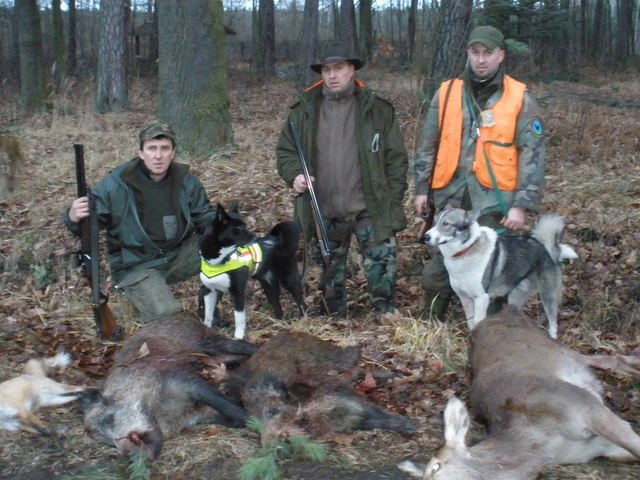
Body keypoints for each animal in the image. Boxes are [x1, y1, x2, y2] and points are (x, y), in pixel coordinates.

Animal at [82, 313, 257, 458]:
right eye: (106, 441)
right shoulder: (198, 416)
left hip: (206, 340)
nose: (128, 457)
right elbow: (235, 420)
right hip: (217, 355)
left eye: (109, 419)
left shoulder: (185, 379)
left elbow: (227, 406)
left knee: (238, 344)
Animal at [199, 204, 307, 339]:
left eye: (245, 225)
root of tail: (276, 240)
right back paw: (277, 322)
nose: (256, 238)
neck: (218, 261)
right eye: (238, 227)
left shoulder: (238, 292)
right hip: (268, 284)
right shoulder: (210, 290)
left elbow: (239, 319)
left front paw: (238, 338)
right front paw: (206, 330)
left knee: (300, 300)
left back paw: (304, 318)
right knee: (276, 303)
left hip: (289, 278)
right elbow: (208, 315)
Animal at [224, 331, 416, 439]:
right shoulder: (354, 420)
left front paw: (412, 425)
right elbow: (377, 422)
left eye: (272, 412)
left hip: (336, 357)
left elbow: (379, 413)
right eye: (253, 422)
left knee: (355, 355)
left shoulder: (352, 401)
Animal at [398, 306, 640, 480]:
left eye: (436, 467)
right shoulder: (598, 447)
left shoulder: (584, 407)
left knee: (606, 358)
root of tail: (505, 309)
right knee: (608, 359)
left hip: (554, 344)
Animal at [424, 207, 578, 338]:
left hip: (548, 296)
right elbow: (470, 322)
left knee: (553, 324)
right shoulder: (465, 298)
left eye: (446, 223)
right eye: (435, 222)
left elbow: (477, 323)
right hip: (515, 297)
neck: (466, 251)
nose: (425, 237)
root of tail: (546, 249)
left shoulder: (481, 298)